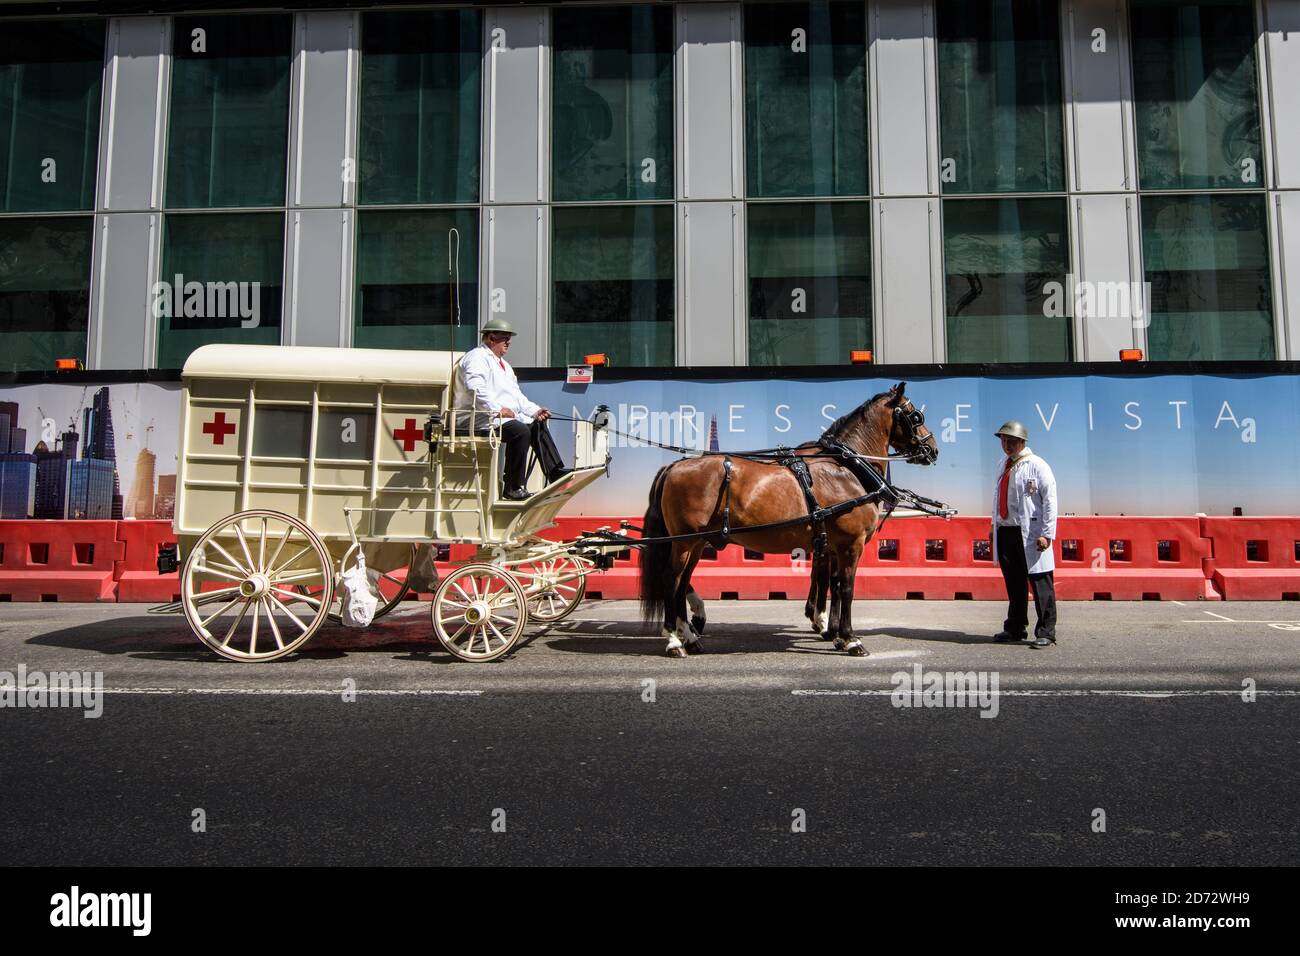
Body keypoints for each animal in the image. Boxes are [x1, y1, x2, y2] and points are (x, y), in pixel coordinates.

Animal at [637, 382, 935, 658]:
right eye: (915, 416)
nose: (933, 449)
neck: (846, 469)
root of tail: (673, 466)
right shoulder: (852, 544)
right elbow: (847, 589)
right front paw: (851, 639)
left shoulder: (834, 545)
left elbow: (833, 585)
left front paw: (835, 634)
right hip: (684, 542)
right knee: (671, 580)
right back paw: (675, 641)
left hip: (696, 543)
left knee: (682, 583)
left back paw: (689, 637)